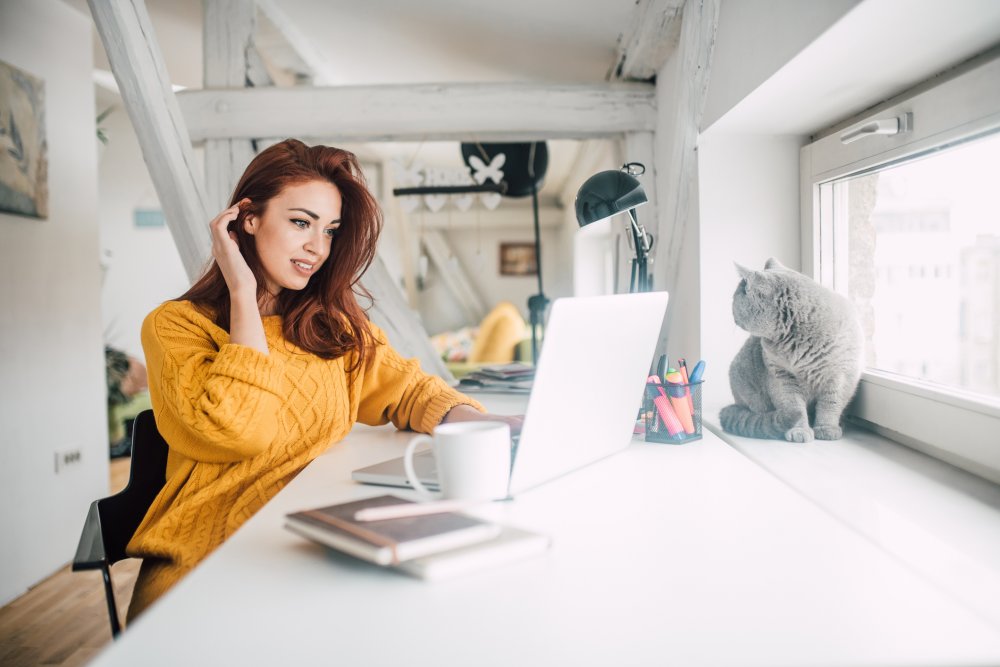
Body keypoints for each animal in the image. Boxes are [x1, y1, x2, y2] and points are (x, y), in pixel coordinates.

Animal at [720, 258, 868, 440]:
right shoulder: (781, 377)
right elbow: (794, 406)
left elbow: (830, 404)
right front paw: (800, 430)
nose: (732, 315)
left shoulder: (841, 376)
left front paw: (826, 428)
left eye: (734, 299)